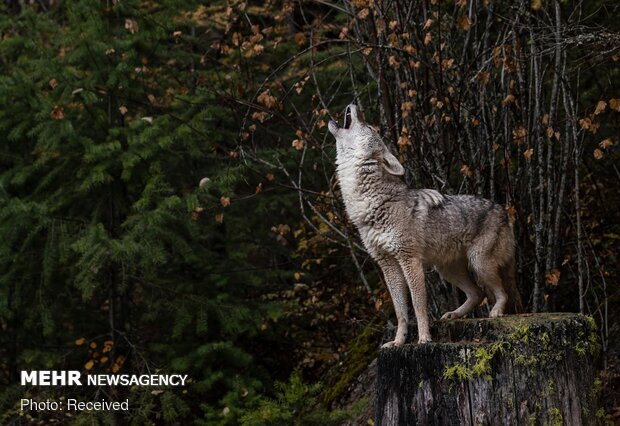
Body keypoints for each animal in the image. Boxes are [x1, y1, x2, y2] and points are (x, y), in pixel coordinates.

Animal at [326, 105, 520, 348]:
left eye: (369, 126)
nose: (354, 106)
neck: (372, 205)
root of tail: (504, 211)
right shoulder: (388, 265)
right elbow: (400, 311)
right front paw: (397, 341)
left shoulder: (410, 261)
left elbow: (418, 306)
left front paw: (424, 338)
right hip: (447, 270)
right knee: (478, 294)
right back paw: (454, 314)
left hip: (479, 264)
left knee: (500, 293)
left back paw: (496, 312)